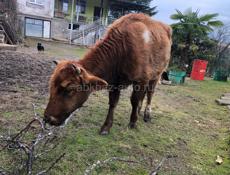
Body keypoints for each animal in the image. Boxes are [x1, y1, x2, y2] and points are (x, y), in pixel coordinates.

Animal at [44, 13, 172, 135]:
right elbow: (113, 103)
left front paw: (132, 122)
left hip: (157, 75)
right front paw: (106, 127)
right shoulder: (115, 82)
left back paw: (146, 115)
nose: (47, 118)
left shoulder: (141, 80)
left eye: (70, 89)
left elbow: (134, 100)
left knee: (150, 94)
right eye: (51, 86)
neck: (123, 48)